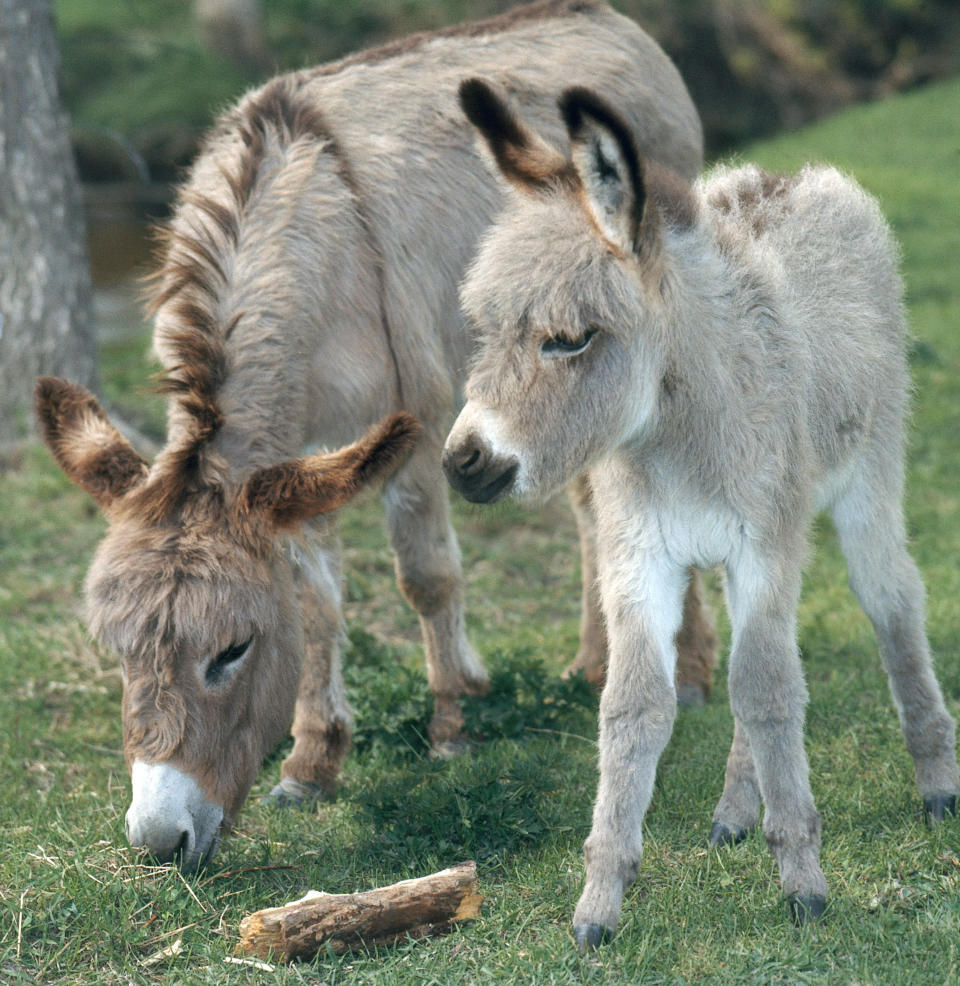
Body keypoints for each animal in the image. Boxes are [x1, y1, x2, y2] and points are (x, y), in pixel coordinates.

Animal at [448, 82, 960, 944]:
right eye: (483, 331)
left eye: (571, 338)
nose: (465, 462)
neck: (672, 436)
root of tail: (794, 174)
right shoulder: (637, 557)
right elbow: (635, 707)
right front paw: (600, 904)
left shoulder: (763, 547)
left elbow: (766, 690)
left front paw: (803, 883)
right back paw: (736, 810)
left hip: (869, 470)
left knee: (891, 597)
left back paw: (936, 784)